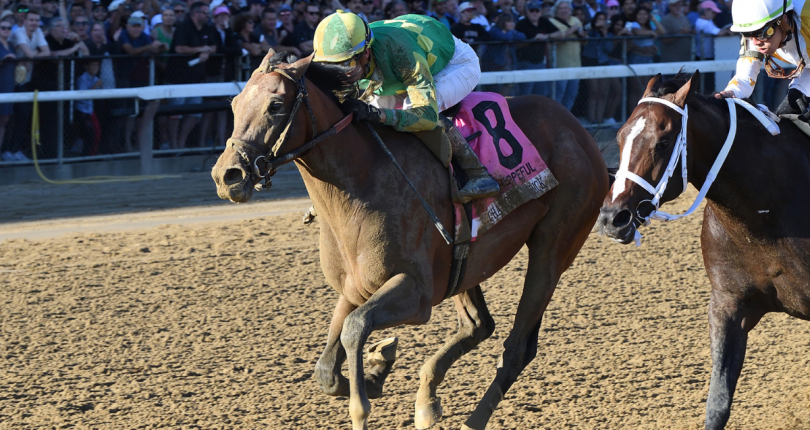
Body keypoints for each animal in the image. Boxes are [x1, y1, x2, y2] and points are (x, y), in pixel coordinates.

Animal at [210, 52, 608, 428]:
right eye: (235, 103)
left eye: (276, 105)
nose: (227, 175)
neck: (360, 184)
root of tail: (577, 129)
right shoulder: (355, 287)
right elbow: (328, 368)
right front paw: (376, 370)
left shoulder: (416, 293)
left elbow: (355, 328)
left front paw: (368, 386)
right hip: (466, 263)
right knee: (479, 325)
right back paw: (427, 399)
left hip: (554, 246)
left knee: (517, 348)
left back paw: (472, 420)